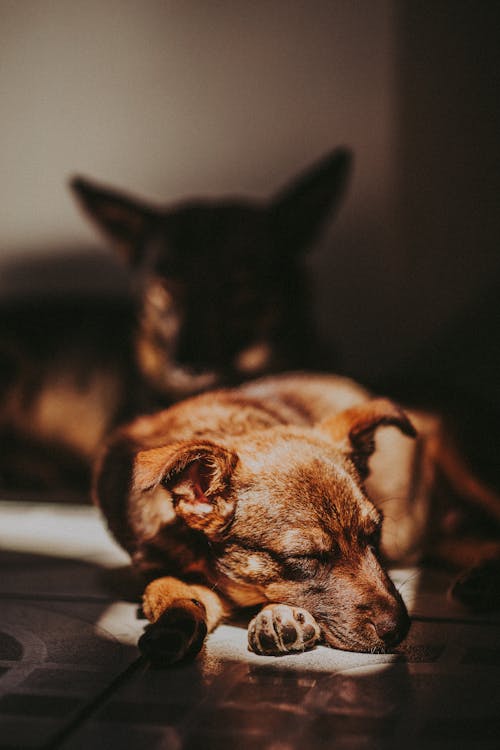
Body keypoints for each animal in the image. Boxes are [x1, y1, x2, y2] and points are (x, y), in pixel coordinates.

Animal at [94, 374, 500, 664]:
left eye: (375, 535)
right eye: (303, 558)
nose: (400, 630)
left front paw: (279, 616)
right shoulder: (160, 569)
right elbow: (168, 588)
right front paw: (174, 625)